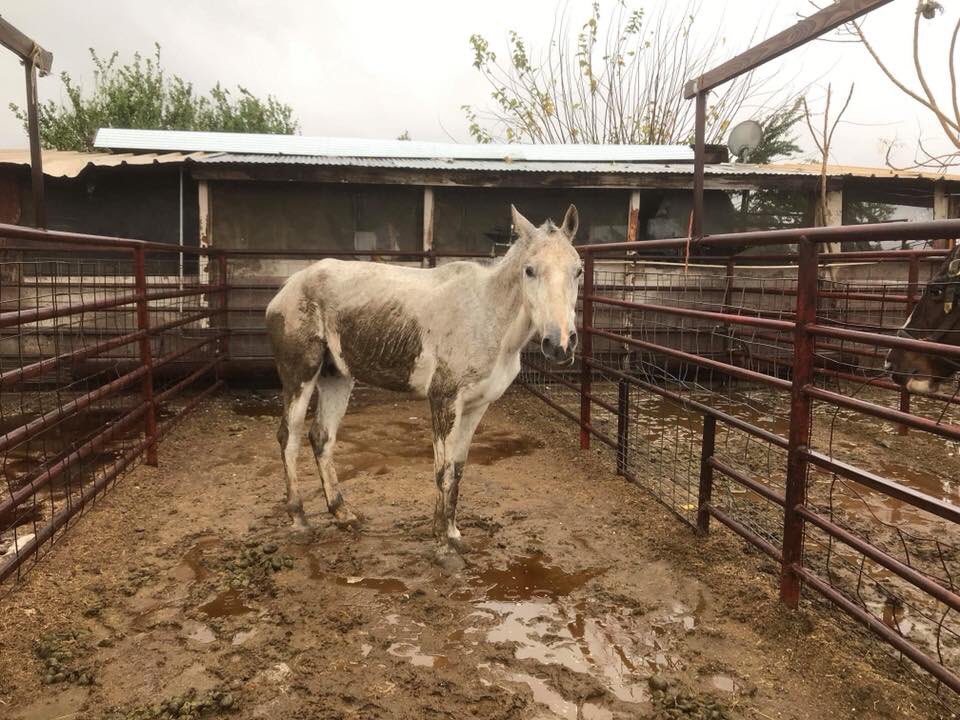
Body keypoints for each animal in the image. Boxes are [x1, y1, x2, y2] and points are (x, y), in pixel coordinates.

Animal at [265, 204, 582, 553]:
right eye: (529, 270)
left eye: (578, 271)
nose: (560, 344)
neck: (486, 315)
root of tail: (287, 288)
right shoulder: (444, 399)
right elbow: (442, 470)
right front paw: (442, 542)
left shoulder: (476, 406)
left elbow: (457, 469)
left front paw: (451, 532)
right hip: (300, 376)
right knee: (289, 436)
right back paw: (299, 518)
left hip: (337, 378)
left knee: (321, 437)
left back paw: (343, 513)